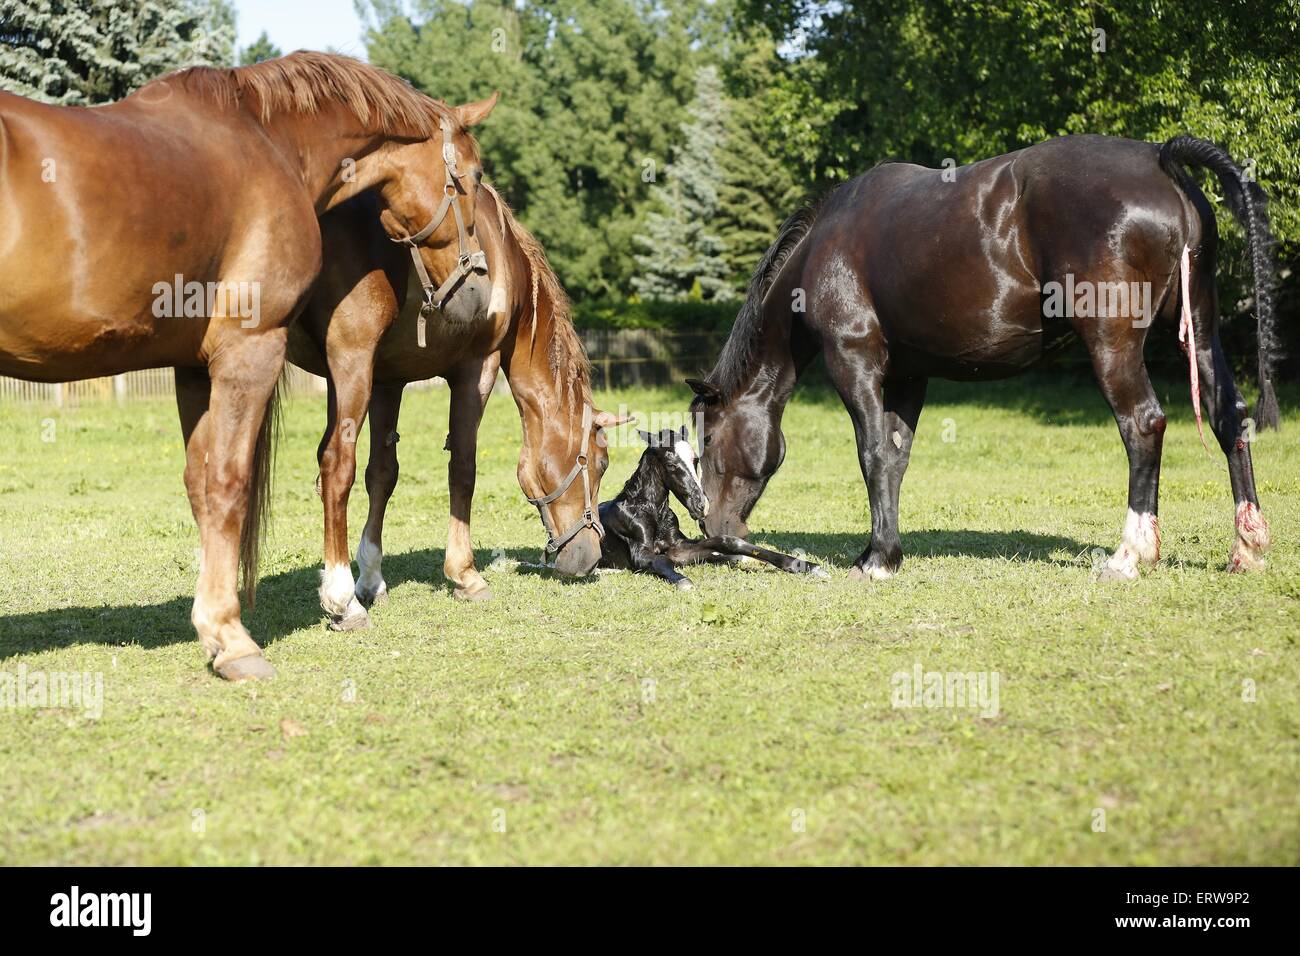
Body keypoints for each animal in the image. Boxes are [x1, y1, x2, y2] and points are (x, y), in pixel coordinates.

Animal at [0, 50, 496, 681]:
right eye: (474, 177)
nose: (476, 287)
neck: (272, 142)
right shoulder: (249, 351)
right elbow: (230, 483)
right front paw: (233, 636)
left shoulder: (192, 370)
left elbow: (201, 485)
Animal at [292, 184, 626, 632]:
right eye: (600, 464)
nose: (590, 558)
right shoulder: (476, 367)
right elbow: (463, 471)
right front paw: (465, 574)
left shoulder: (386, 381)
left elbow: (382, 474)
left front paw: (373, 577)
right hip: (348, 365)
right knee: (334, 467)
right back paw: (341, 599)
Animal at [595, 429, 826, 590]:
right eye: (671, 465)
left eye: (695, 460)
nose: (702, 505)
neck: (650, 509)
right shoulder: (641, 553)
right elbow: (661, 560)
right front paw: (683, 582)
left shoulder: (679, 546)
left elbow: (727, 541)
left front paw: (807, 566)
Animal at [691, 134, 1279, 582]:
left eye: (707, 442)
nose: (714, 533)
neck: (824, 247)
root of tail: (1161, 159)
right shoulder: (908, 375)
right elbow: (895, 458)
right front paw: (880, 550)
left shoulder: (853, 361)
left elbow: (872, 453)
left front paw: (878, 560)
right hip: (1198, 331)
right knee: (1229, 417)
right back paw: (1246, 546)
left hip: (1112, 343)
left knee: (1143, 424)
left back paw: (1130, 554)